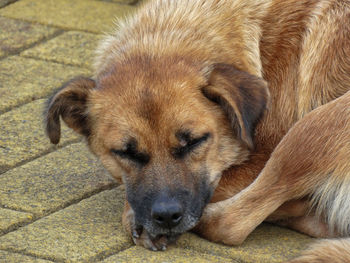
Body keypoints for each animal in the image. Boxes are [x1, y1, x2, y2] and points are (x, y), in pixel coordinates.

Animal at [44, 0, 350, 262]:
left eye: (195, 142)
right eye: (126, 152)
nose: (166, 217)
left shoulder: (261, 155)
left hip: (309, 131)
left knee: (229, 223)